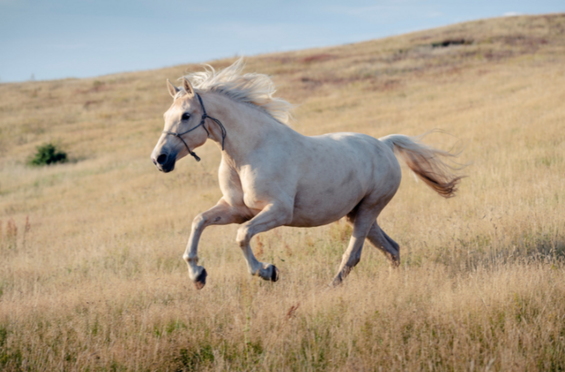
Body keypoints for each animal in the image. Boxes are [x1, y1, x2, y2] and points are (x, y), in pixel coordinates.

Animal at [151, 59, 462, 290]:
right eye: (167, 115)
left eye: (186, 116)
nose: (159, 159)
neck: (250, 153)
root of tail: (385, 144)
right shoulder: (236, 209)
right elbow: (199, 221)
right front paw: (198, 275)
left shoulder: (277, 211)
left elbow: (242, 236)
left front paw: (268, 271)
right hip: (357, 213)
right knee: (391, 248)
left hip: (369, 210)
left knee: (354, 255)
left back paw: (330, 287)